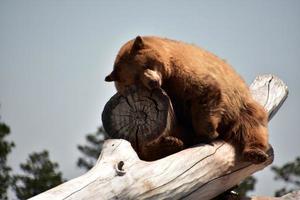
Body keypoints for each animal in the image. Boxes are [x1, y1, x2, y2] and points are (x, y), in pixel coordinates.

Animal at [105, 36, 270, 164]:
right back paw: (169, 144)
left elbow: (205, 91)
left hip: (239, 106)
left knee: (251, 124)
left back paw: (255, 153)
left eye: (146, 65)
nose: (153, 82)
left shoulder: (182, 71)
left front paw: (206, 133)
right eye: (135, 79)